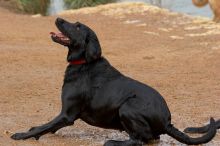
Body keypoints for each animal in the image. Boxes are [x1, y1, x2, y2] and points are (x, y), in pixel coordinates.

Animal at [11, 17, 217, 145]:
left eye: (77, 26)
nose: (59, 19)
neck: (84, 63)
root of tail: (168, 122)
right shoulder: (64, 115)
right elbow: (46, 125)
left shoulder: (67, 114)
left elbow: (45, 126)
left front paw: (22, 135)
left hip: (127, 107)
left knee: (139, 140)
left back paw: (113, 142)